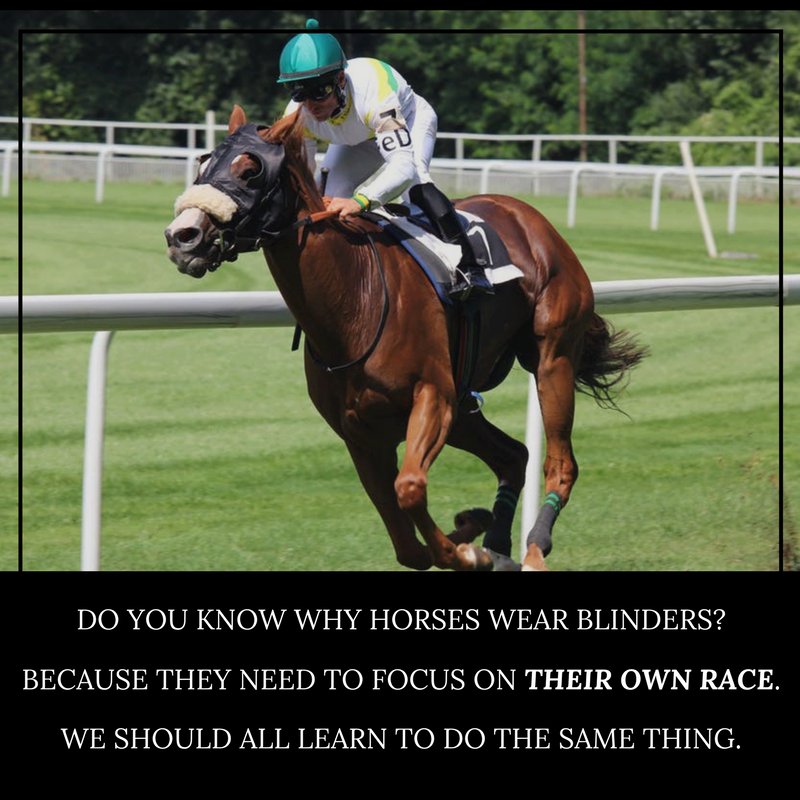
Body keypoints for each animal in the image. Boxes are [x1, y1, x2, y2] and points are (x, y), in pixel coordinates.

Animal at [165, 105, 646, 572]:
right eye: (204, 163)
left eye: (250, 170)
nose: (182, 237)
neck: (354, 300)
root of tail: (529, 217)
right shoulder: (360, 434)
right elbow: (407, 546)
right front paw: (472, 539)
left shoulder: (433, 396)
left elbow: (410, 488)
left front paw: (466, 552)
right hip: (465, 406)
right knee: (514, 455)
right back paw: (498, 545)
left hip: (551, 357)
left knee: (560, 462)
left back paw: (532, 550)